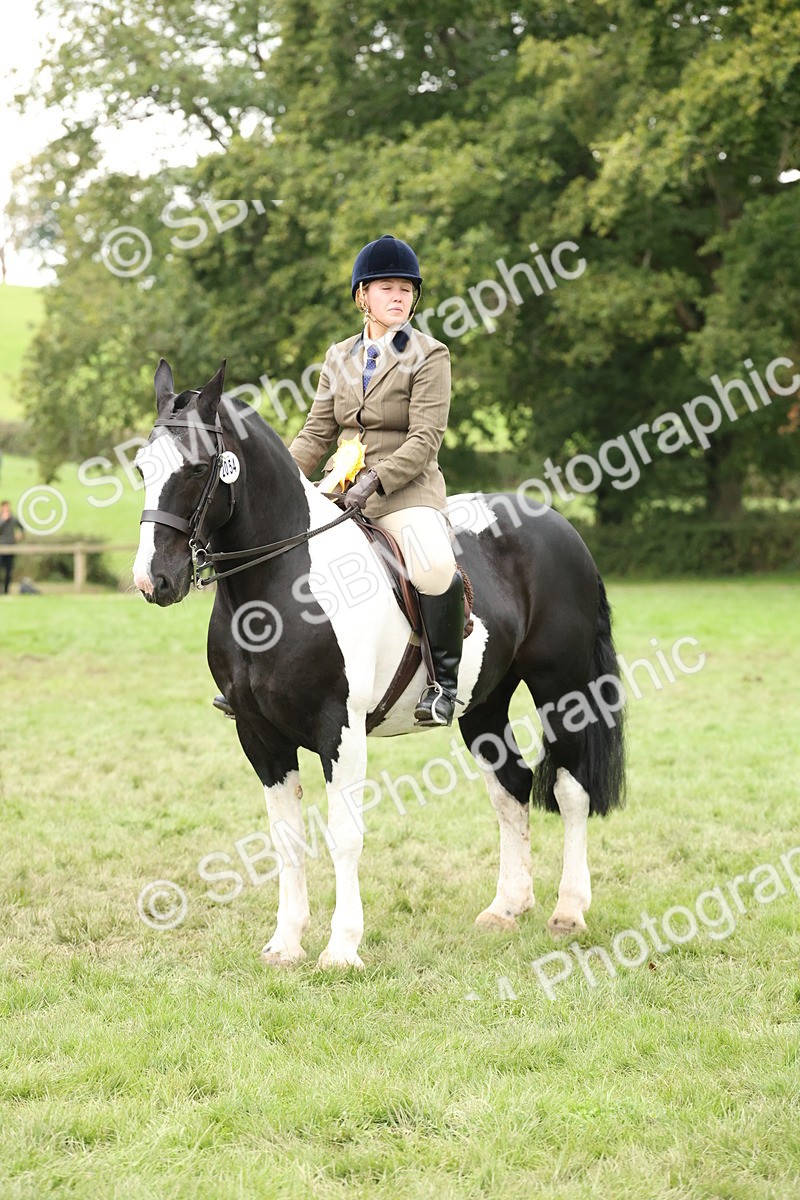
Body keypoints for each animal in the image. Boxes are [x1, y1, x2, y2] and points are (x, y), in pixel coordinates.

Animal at [132, 360, 626, 968]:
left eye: (199, 468)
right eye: (142, 468)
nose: (154, 580)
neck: (277, 587)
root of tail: (556, 523)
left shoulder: (338, 729)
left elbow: (344, 833)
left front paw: (342, 948)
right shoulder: (258, 735)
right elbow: (286, 837)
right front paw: (286, 943)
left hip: (564, 688)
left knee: (570, 790)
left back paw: (568, 912)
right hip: (483, 703)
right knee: (511, 785)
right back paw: (506, 908)